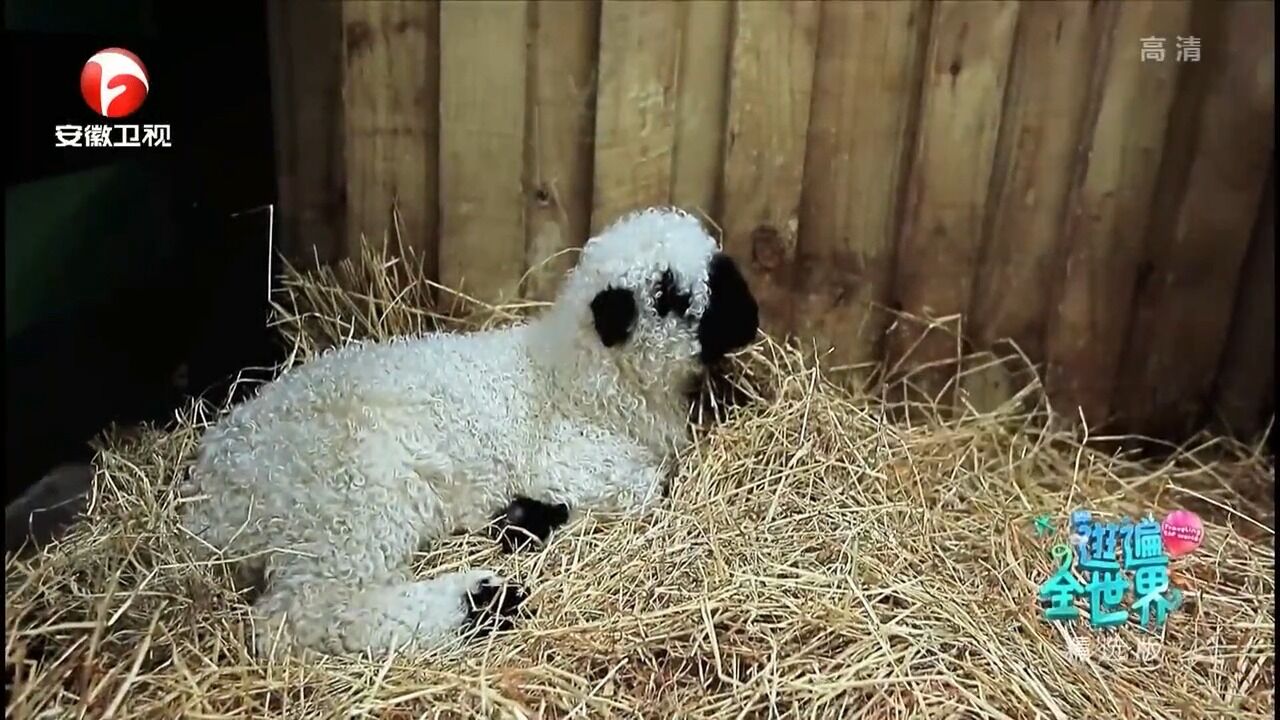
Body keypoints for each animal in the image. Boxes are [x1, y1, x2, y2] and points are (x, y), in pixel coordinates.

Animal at [180, 206, 757, 655]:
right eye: (671, 295)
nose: (751, 316)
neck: (572, 377)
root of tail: (209, 500)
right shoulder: (572, 459)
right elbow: (645, 490)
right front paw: (527, 520)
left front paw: (521, 520)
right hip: (350, 501)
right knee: (304, 613)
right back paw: (480, 603)